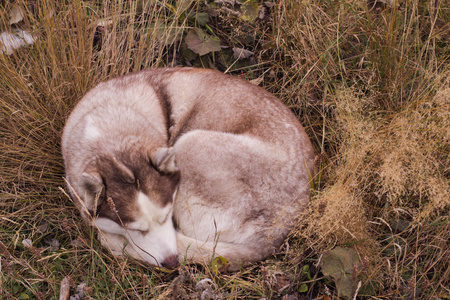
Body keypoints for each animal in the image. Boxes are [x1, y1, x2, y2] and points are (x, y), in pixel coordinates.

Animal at [61, 67, 314, 270]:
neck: (106, 128)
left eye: (167, 216)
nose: (171, 262)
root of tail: (274, 236)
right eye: (136, 229)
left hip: (189, 143)